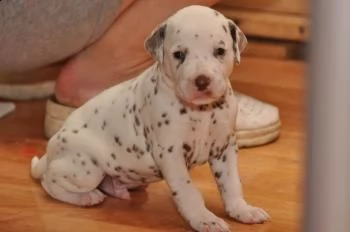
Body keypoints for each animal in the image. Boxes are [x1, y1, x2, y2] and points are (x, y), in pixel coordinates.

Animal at [31, 5, 270, 232]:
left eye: (220, 51)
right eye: (179, 54)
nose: (201, 81)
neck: (202, 111)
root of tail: (50, 152)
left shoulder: (225, 148)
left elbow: (232, 183)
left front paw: (242, 210)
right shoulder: (171, 154)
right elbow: (188, 191)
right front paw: (204, 219)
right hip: (86, 169)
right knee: (49, 181)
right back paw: (85, 197)